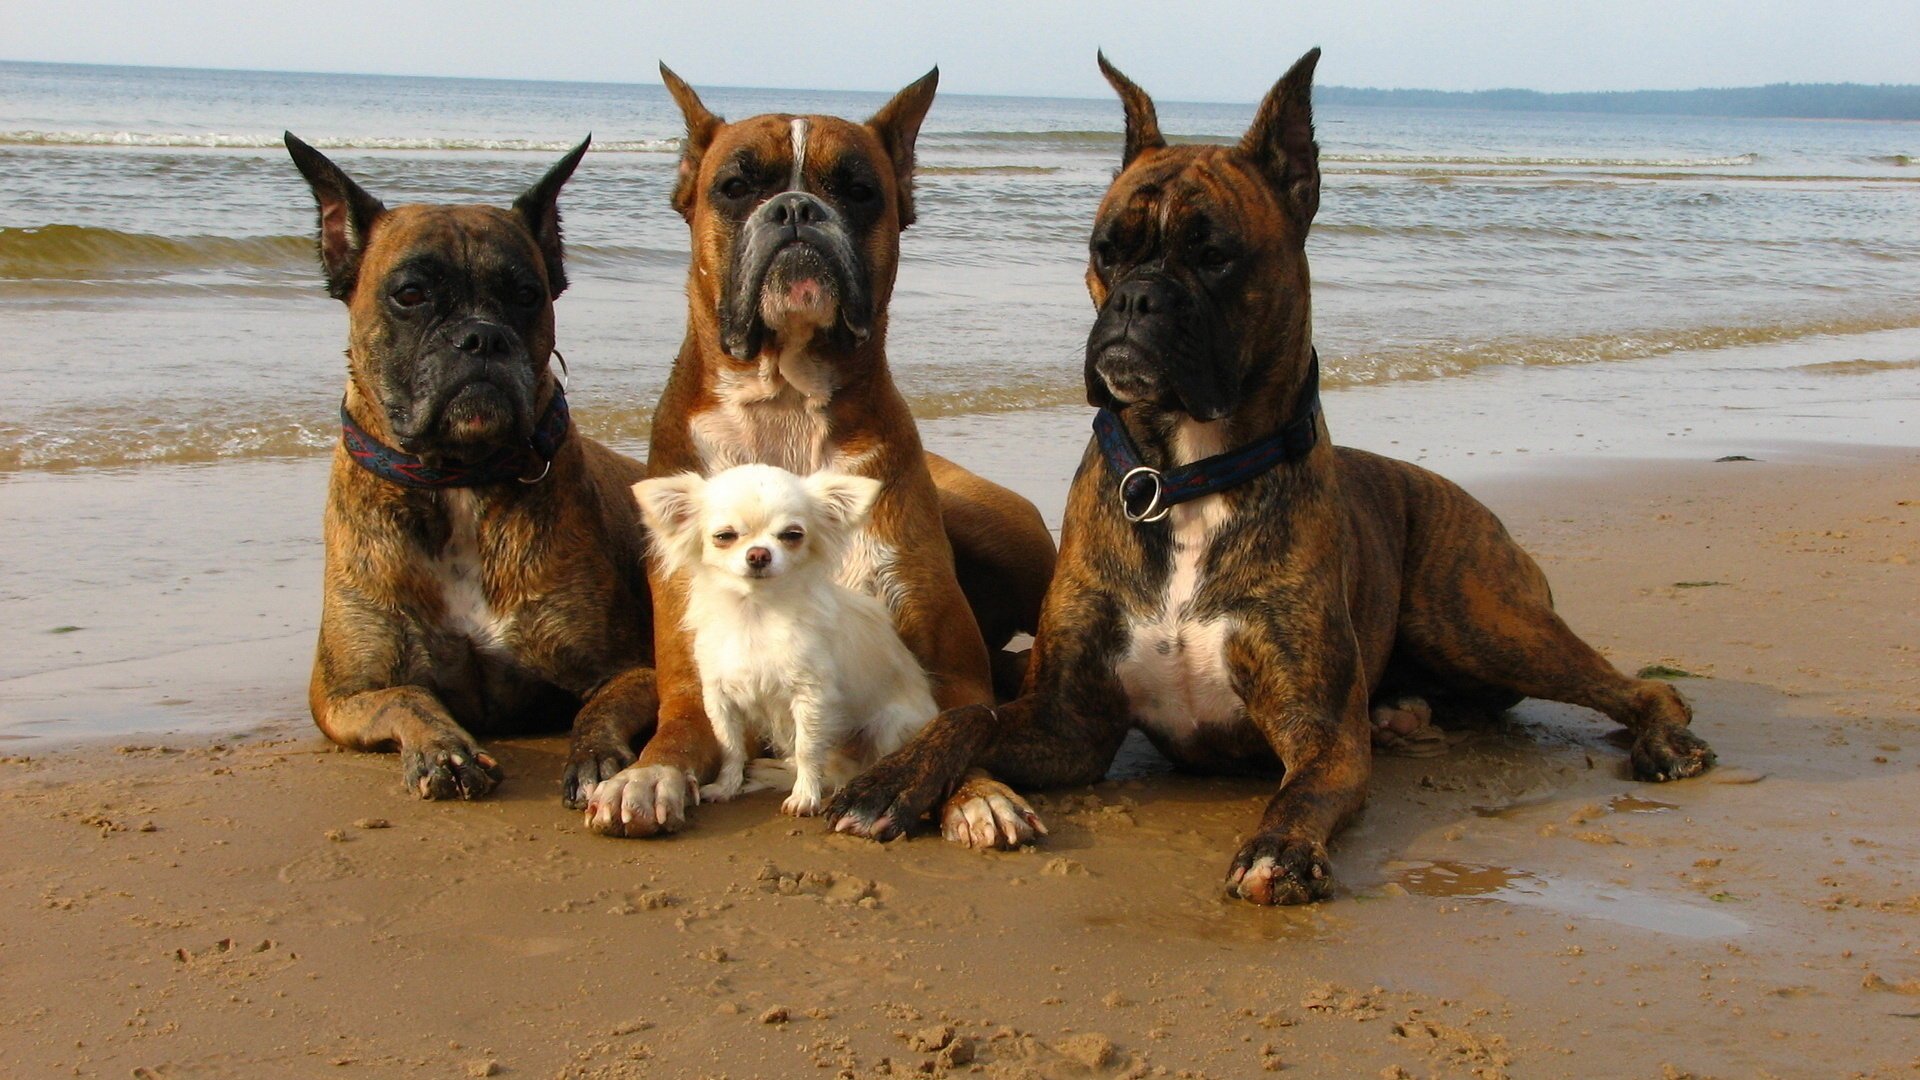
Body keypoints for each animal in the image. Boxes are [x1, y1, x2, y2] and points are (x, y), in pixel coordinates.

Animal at [284, 130, 660, 795]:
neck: (459, 476)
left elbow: (600, 705)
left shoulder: (631, 668)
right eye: (410, 294)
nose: (482, 336)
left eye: (527, 296)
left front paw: (595, 756)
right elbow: (407, 696)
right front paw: (442, 749)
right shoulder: (343, 695)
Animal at [633, 465, 940, 814]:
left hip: (889, 725)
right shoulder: (719, 697)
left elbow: (808, 748)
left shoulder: (811, 697)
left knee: (851, 767)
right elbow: (731, 747)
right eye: (724, 536)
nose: (759, 554)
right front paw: (726, 787)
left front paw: (805, 797)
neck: (756, 614)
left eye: (792, 535)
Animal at [821, 50, 1712, 899]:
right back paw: (1406, 710)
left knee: (1639, 688)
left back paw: (1666, 739)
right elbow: (966, 719)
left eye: (1214, 255)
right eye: (1107, 250)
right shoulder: (1067, 725)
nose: (1136, 300)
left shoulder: (1319, 734)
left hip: (1485, 621)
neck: (1185, 475)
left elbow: (1301, 791)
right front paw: (890, 782)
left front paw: (1280, 850)